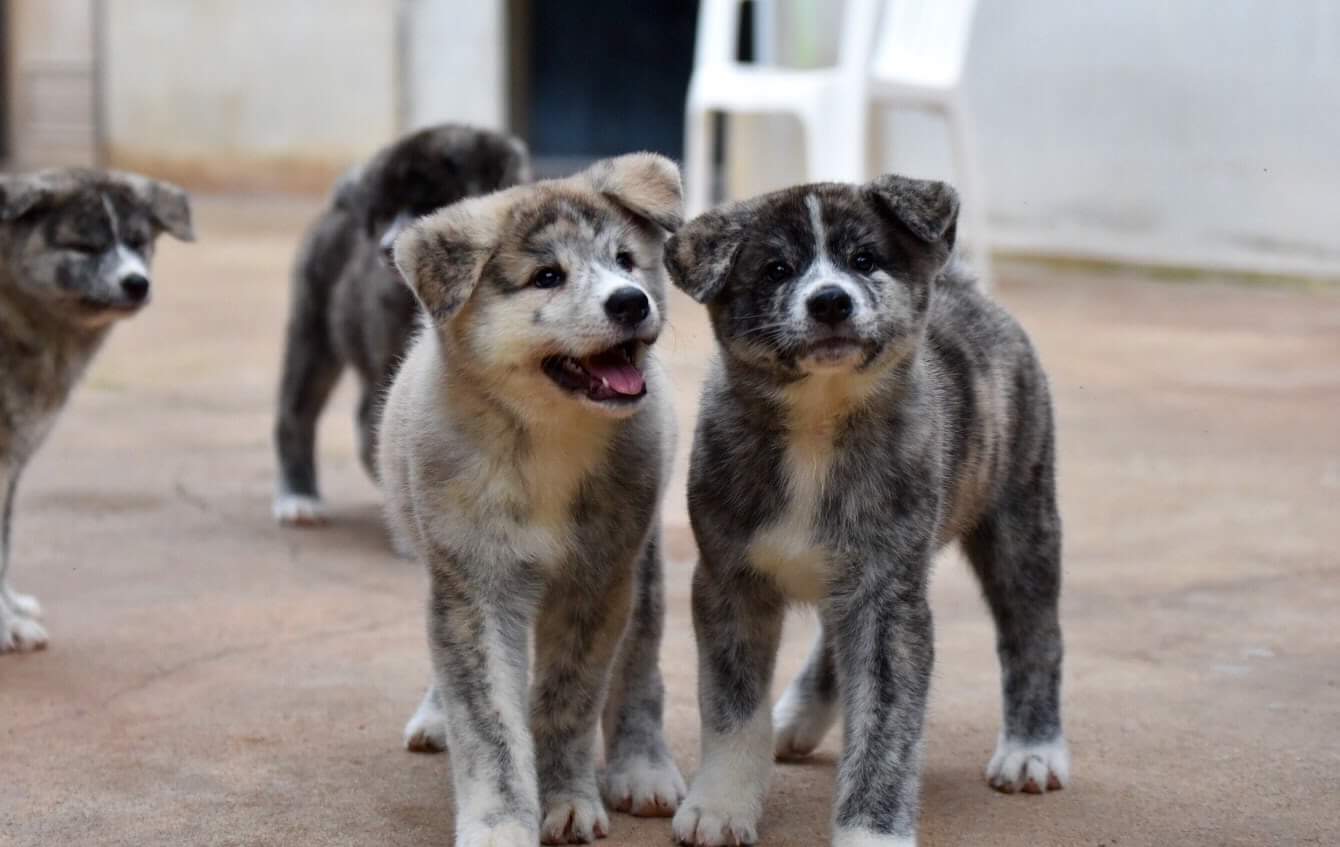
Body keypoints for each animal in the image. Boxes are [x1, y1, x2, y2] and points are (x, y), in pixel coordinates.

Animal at [0, 168, 193, 653]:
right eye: (84, 247)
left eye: (138, 242)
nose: (137, 283)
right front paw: (5, 625)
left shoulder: (13, 457)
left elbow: (4, 543)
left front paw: (11, 610)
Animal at [273, 124, 530, 527]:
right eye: (385, 213)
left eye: (429, 205)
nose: (385, 248)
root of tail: (339, 206)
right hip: (312, 332)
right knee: (298, 414)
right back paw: (298, 498)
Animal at [380, 153, 687, 845]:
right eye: (547, 277)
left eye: (626, 260)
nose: (631, 301)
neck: (549, 439)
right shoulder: (473, 583)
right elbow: (488, 721)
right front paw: (499, 824)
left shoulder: (596, 581)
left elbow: (567, 701)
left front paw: (567, 800)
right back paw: (434, 718)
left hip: (642, 564)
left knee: (640, 667)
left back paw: (642, 766)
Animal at [663, 175, 1068, 846]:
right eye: (777, 269)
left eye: (865, 260)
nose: (830, 302)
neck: (818, 421)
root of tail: (964, 287)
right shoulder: (728, 583)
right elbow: (731, 712)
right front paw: (720, 806)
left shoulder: (888, 599)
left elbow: (884, 730)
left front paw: (870, 833)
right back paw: (796, 717)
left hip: (1020, 519)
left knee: (1034, 634)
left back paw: (1032, 751)